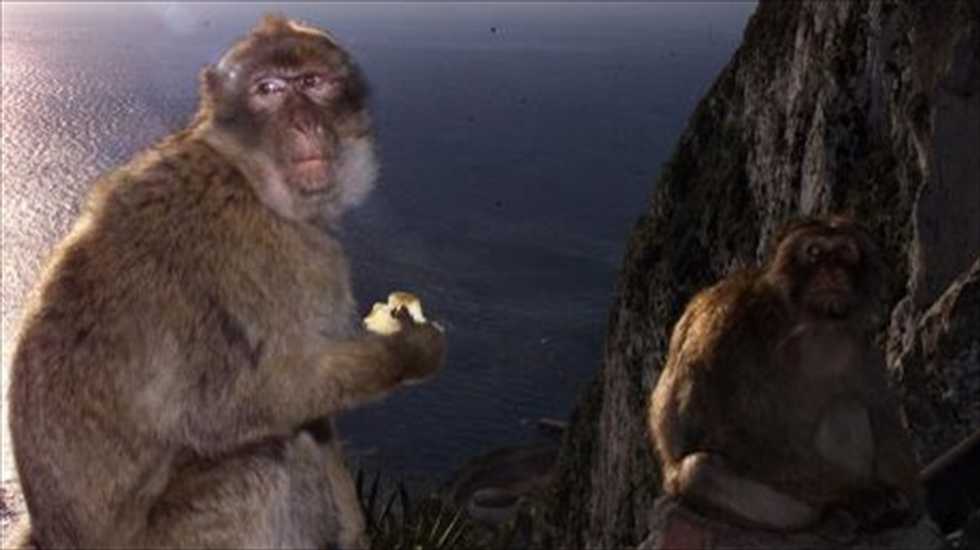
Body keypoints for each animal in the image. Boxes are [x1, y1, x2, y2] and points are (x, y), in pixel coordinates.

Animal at [7, 14, 445, 549]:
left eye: (313, 83)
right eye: (269, 89)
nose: (304, 123)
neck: (246, 171)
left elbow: (312, 422)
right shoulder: (287, 255)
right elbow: (239, 405)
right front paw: (410, 351)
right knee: (266, 463)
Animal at [649, 216, 923, 533]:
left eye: (845, 252)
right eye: (814, 252)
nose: (832, 269)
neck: (804, 323)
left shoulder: (856, 343)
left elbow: (882, 417)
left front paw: (906, 499)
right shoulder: (724, 329)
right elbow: (716, 431)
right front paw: (859, 494)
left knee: (847, 408)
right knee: (701, 472)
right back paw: (835, 513)